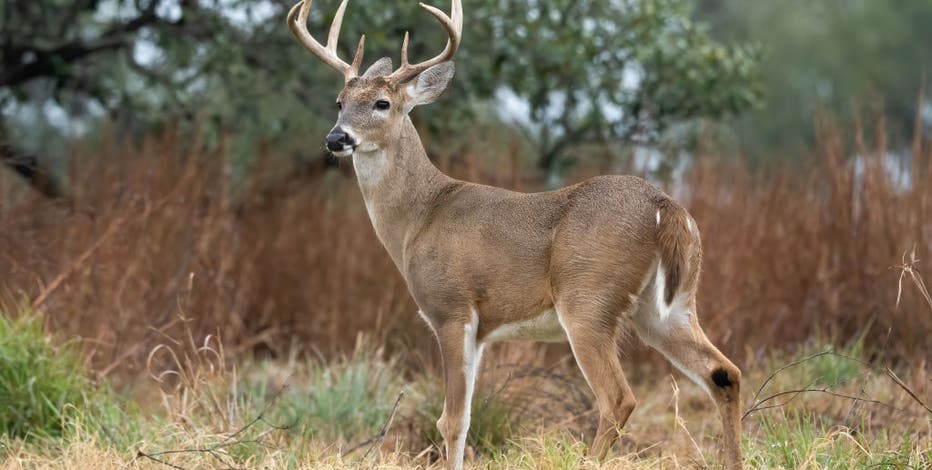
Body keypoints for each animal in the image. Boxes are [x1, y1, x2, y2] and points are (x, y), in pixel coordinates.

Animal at [286, 0, 743, 468]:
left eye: (382, 103)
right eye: (339, 102)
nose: (337, 137)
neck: (420, 217)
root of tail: (664, 206)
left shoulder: (451, 308)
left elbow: (450, 420)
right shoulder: (483, 330)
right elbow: (465, 418)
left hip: (588, 298)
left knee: (619, 399)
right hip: (668, 305)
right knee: (723, 373)